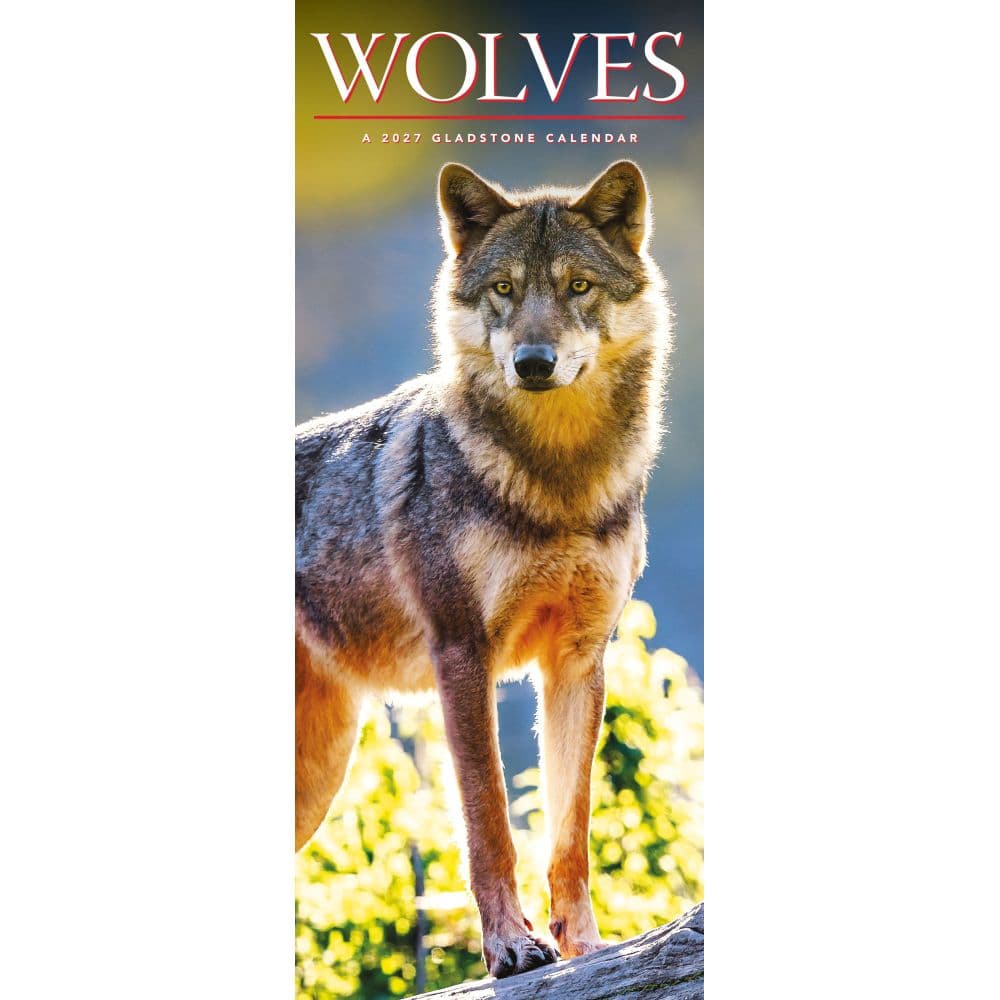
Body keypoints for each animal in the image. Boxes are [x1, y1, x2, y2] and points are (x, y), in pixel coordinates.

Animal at [296, 159, 672, 978]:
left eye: (576, 286)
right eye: (504, 288)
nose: (533, 363)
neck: (557, 486)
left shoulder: (577, 663)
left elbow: (570, 834)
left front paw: (587, 948)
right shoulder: (462, 656)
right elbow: (489, 823)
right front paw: (511, 947)